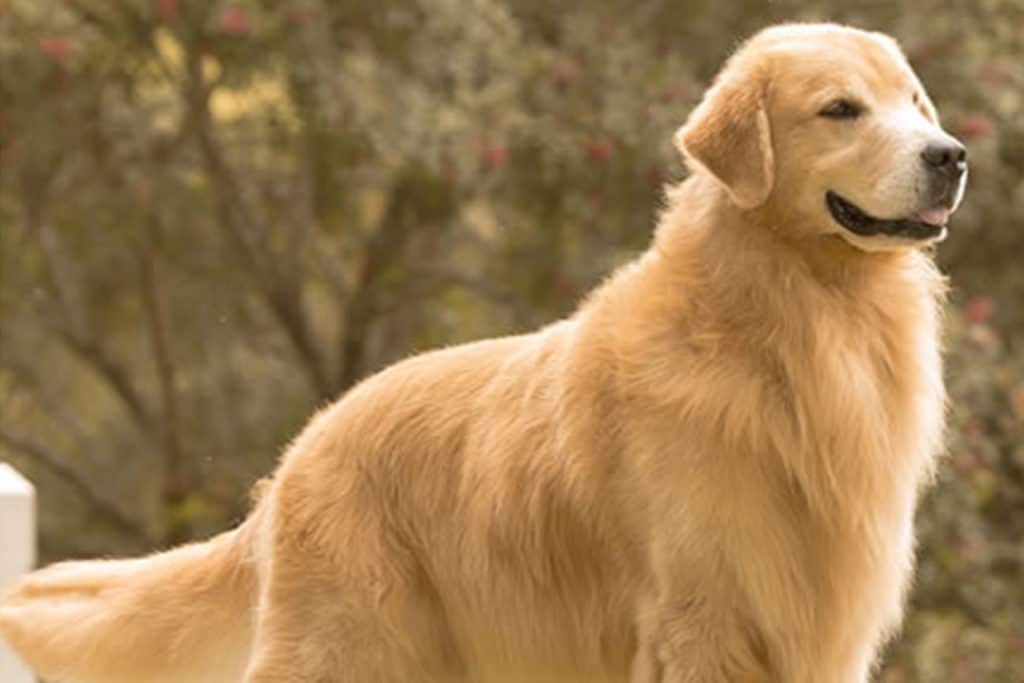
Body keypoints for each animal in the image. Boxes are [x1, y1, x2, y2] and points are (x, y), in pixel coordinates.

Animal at [0, 22, 962, 683]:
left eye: (914, 103)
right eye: (840, 109)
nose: (951, 155)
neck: (793, 317)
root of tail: (294, 460)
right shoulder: (706, 614)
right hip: (344, 643)